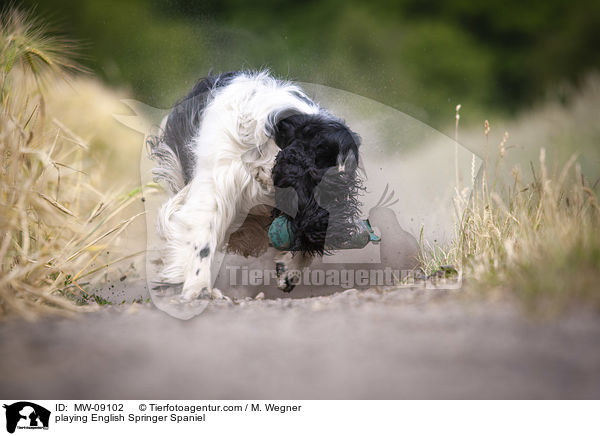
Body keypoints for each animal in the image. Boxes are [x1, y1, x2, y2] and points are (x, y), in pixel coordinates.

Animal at [151, 70, 366, 300]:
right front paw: (198, 288)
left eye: (344, 186)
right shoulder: (216, 186)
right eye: (322, 178)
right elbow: (203, 239)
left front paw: (288, 270)